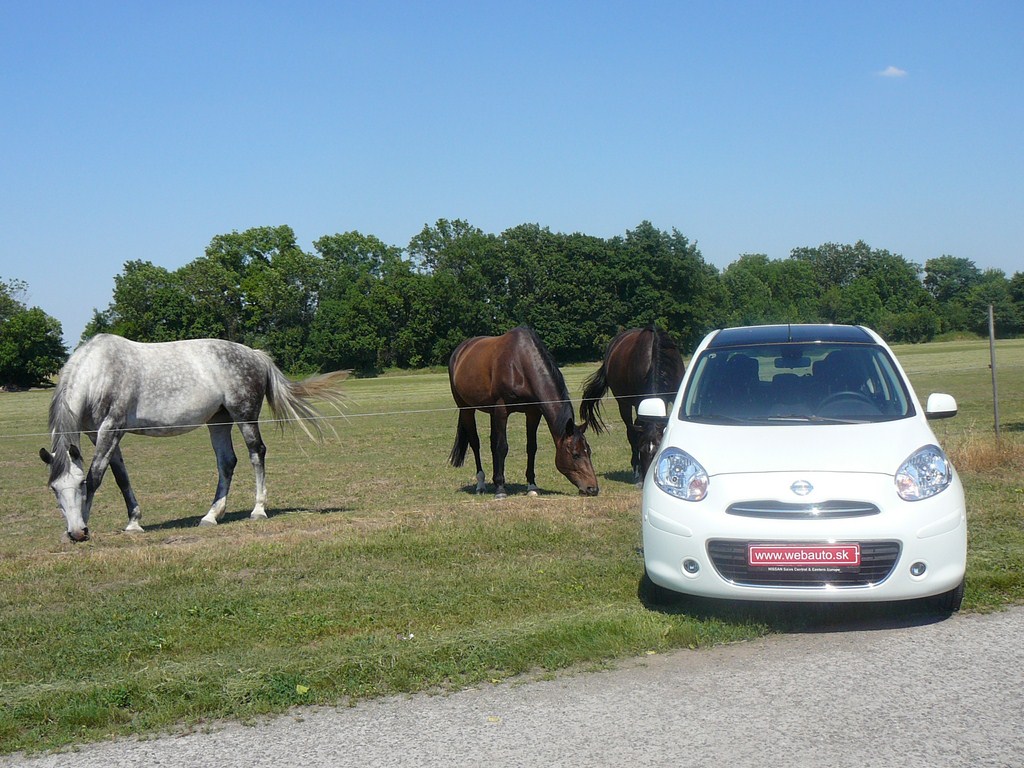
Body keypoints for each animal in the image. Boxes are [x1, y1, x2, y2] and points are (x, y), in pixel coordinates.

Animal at [37, 335, 348, 540]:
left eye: (78, 485)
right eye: (54, 489)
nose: (75, 533)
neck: (99, 372)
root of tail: (255, 355)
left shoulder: (111, 428)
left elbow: (97, 476)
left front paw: (87, 520)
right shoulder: (97, 434)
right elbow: (120, 476)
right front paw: (133, 522)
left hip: (244, 416)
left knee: (256, 453)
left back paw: (258, 509)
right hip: (219, 420)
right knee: (227, 462)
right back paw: (211, 516)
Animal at [448, 327, 598, 501]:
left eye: (589, 451)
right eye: (575, 454)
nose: (593, 488)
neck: (520, 364)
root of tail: (460, 351)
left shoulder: (532, 413)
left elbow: (531, 447)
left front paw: (532, 486)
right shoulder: (502, 410)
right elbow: (502, 447)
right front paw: (500, 490)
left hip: (491, 412)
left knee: (492, 443)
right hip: (466, 408)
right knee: (475, 443)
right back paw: (481, 484)